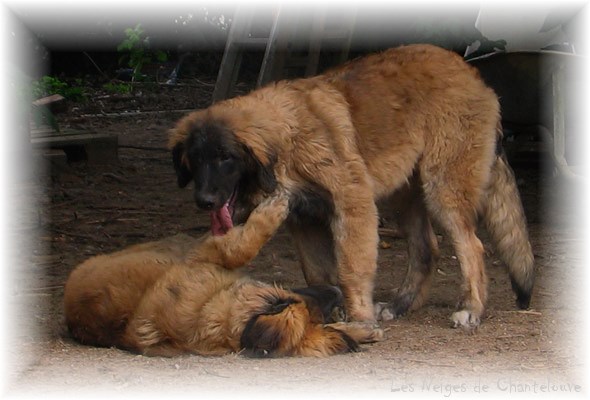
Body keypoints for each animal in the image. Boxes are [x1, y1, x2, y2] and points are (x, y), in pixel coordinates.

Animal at [168, 44, 536, 332]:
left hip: (443, 189)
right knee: (426, 248)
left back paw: (470, 309)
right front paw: (328, 308)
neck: (287, 139)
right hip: (405, 194)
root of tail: (472, 73)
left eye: (226, 158)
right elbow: (319, 273)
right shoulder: (304, 220)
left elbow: (351, 267)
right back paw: (400, 306)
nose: (204, 201)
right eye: (195, 160)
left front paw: (358, 316)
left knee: (473, 246)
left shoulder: (352, 202)